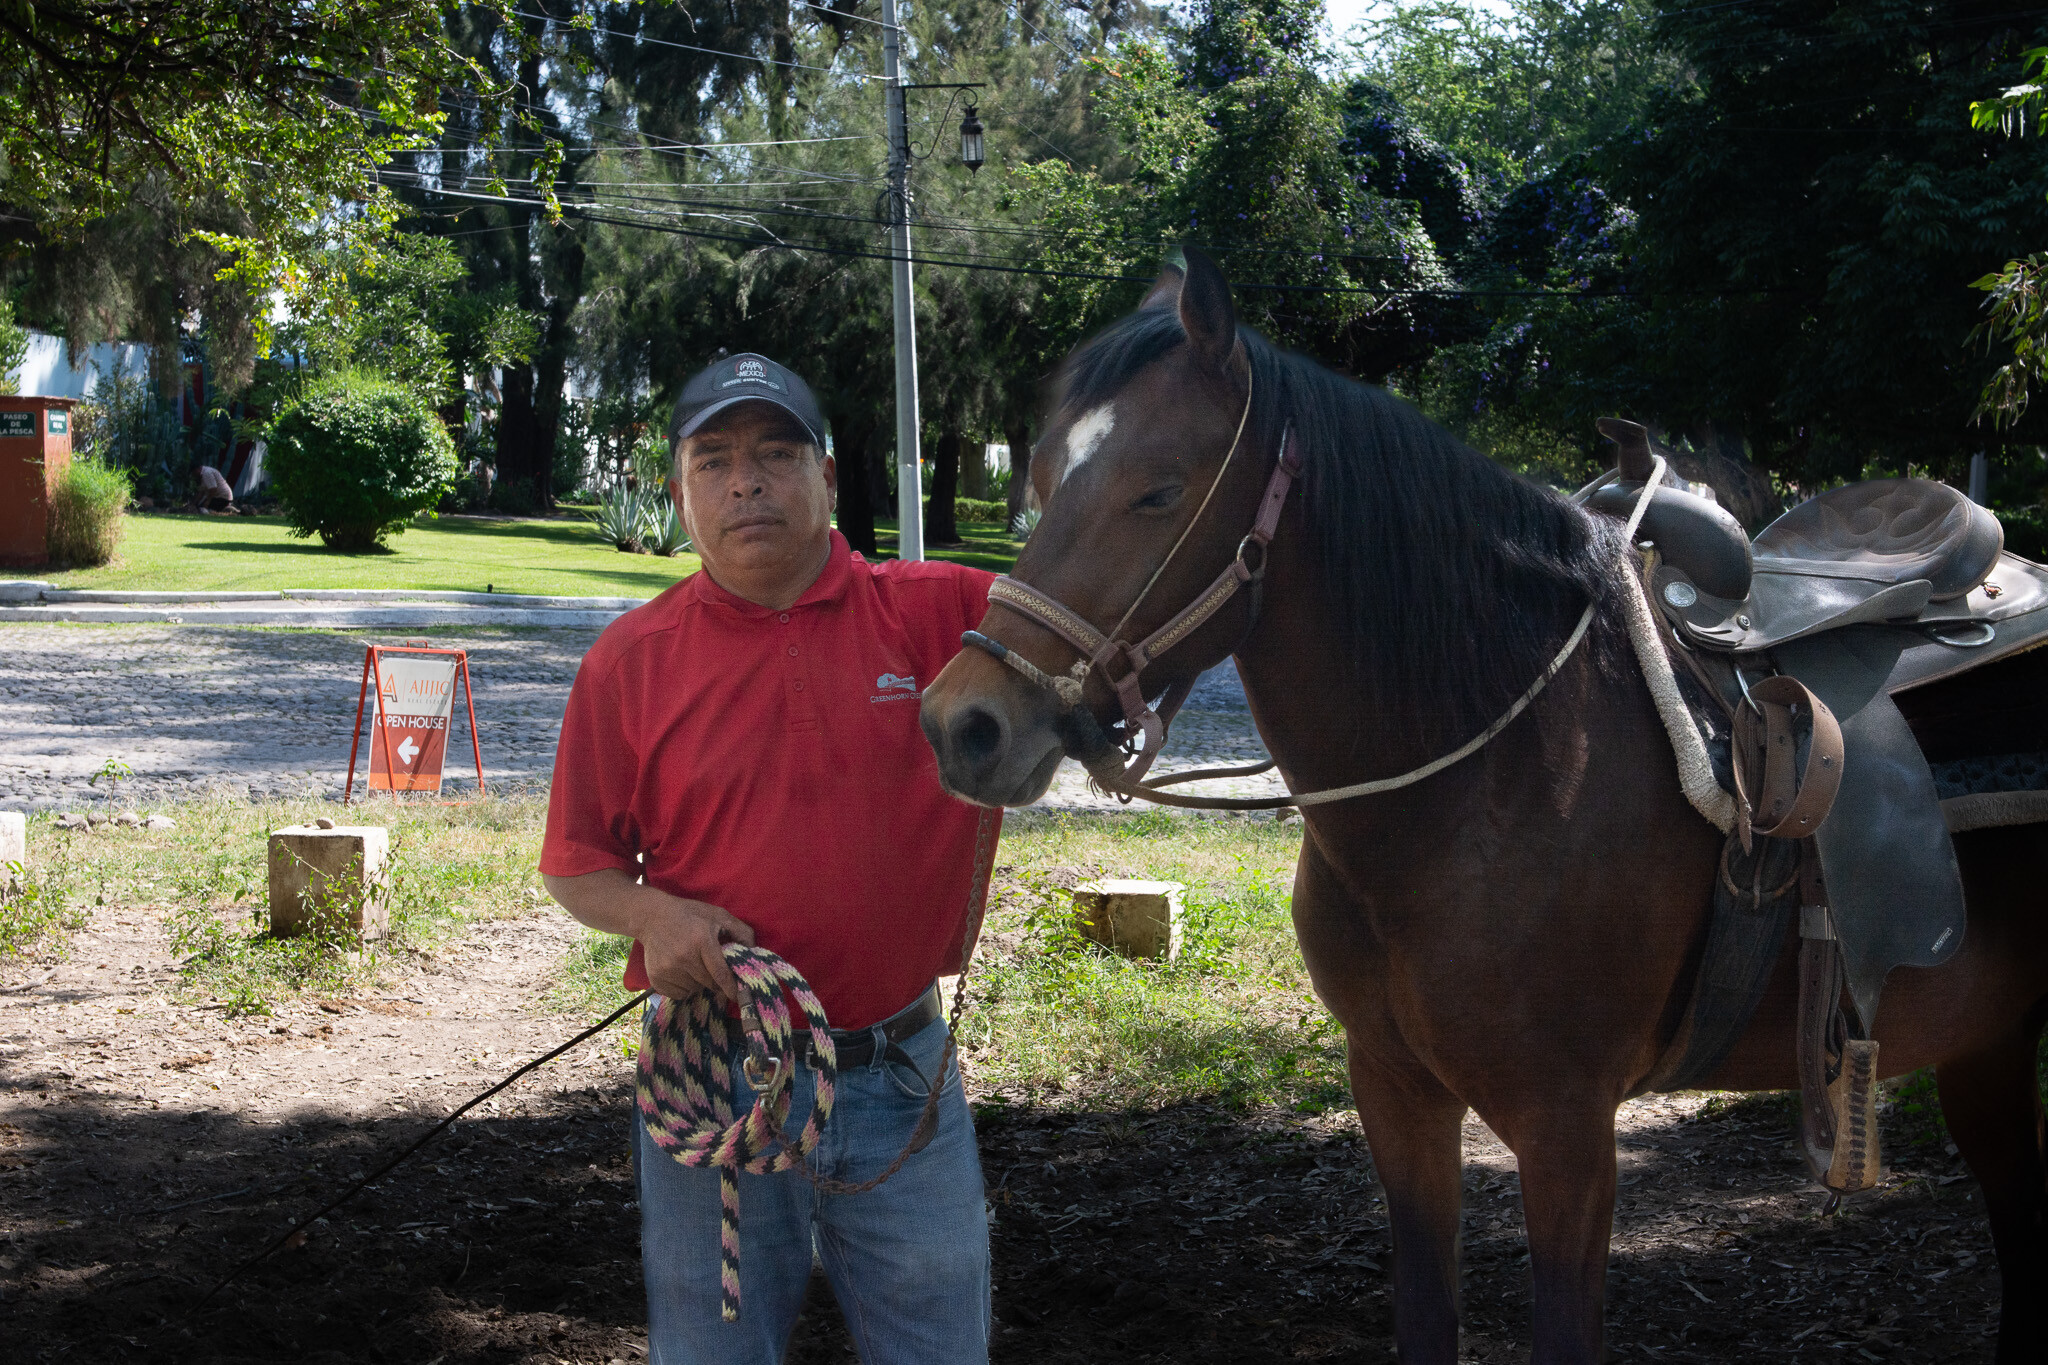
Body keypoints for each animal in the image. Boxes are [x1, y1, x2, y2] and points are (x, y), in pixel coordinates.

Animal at [918, 248, 2048, 1363]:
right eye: (1041, 474)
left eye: (1157, 491)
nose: (964, 724)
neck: (1485, 788)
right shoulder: (1396, 1094)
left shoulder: (1566, 1131)